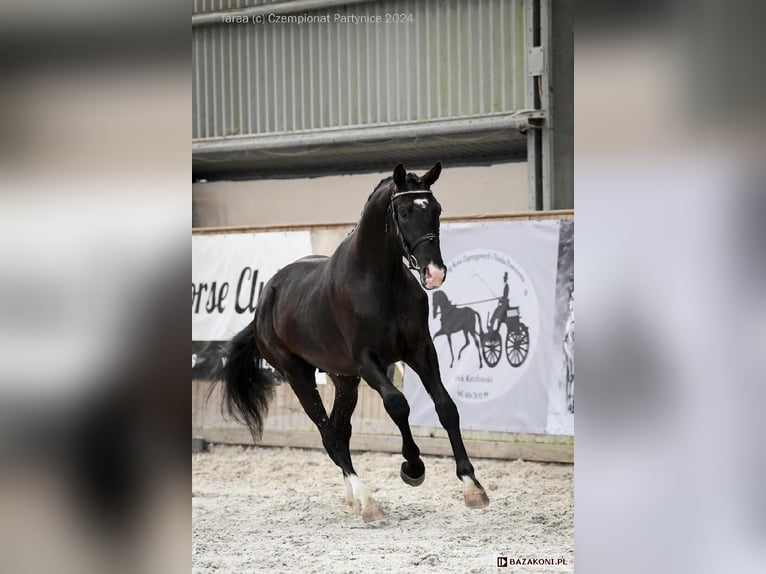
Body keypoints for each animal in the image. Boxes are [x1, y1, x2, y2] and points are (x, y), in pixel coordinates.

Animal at [217, 162, 489, 522]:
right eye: (404, 211)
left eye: (436, 209)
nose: (434, 273)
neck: (380, 281)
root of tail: (264, 301)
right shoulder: (367, 361)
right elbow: (398, 404)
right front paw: (412, 467)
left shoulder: (420, 351)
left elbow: (446, 407)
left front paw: (472, 486)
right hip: (298, 375)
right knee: (329, 434)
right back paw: (367, 501)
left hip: (343, 379)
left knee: (340, 429)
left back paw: (352, 498)